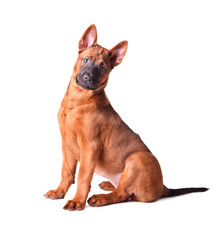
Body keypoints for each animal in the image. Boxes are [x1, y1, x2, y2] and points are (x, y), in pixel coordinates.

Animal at [44, 25, 208, 211]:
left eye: (102, 68)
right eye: (85, 60)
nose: (88, 78)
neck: (78, 101)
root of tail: (162, 187)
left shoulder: (90, 145)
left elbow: (83, 176)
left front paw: (77, 201)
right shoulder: (66, 143)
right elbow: (67, 172)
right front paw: (59, 192)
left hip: (138, 158)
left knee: (123, 194)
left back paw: (100, 198)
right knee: (123, 190)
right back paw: (108, 185)